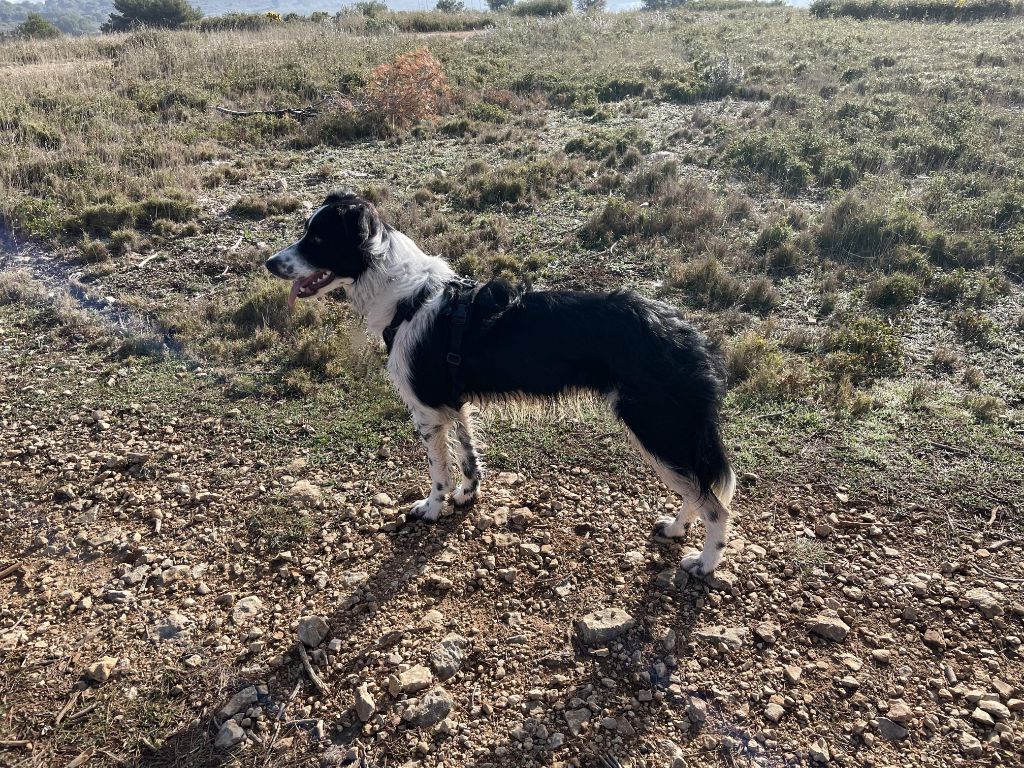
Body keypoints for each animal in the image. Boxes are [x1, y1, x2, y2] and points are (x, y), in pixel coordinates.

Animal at [264, 189, 737, 573]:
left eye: (318, 239)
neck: (405, 296)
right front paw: (467, 496)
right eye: (307, 233)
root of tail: (690, 336)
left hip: (658, 432)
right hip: (671, 436)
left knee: (715, 504)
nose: (268, 263)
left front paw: (432, 508)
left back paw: (705, 562)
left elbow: (439, 471)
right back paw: (676, 529)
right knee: (699, 490)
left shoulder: (427, 411)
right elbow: (468, 457)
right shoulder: (454, 404)